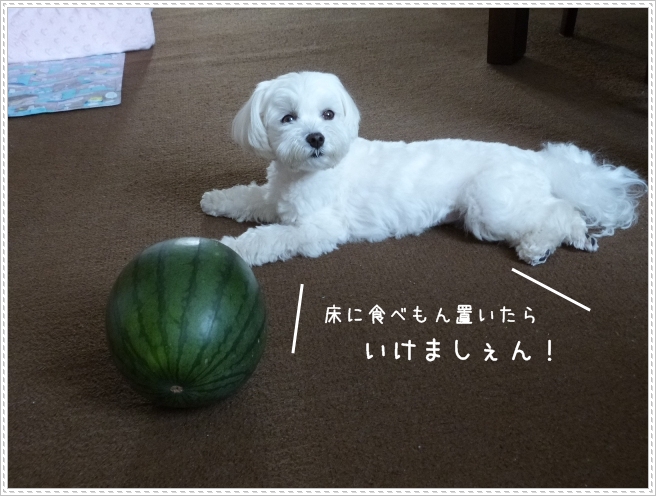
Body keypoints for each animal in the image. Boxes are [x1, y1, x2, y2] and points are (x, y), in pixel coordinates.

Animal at [201, 71, 646, 266]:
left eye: (328, 114)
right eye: (288, 118)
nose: (315, 138)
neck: (306, 174)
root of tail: (532, 157)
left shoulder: (318, 229)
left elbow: (272, 237)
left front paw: (234, 248)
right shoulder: (273, 197)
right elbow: (249, 198)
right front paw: (216, 199)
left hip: (491, 206)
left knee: (556, 211)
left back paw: (540, 246)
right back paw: (569, 240)